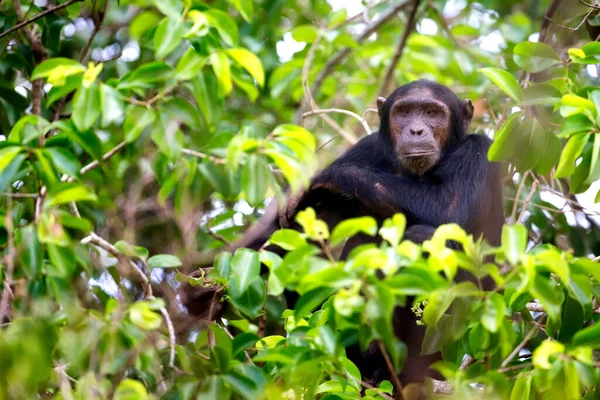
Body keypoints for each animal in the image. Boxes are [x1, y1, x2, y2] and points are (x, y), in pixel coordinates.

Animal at [183, 79, 502, 388]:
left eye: (433, 112)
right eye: (404, 112)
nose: (416, 129)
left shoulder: (479, 152)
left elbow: (448, 207)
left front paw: (323, 178)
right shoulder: (367, 147)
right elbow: (288, 233)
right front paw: (205, 286)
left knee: (423, 236)